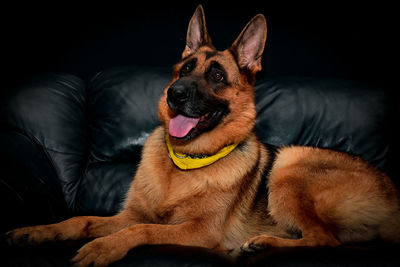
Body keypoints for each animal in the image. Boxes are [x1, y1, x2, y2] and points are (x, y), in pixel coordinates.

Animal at [6, 4, 400, 267]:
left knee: (326, 239)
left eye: (217, 76)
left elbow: (142, 231)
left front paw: (103, 247)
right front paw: (37, 231)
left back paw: (263, 243)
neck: (184, 163)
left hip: (289, 166)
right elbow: (81, 220)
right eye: (185, 70)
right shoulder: (128, 215)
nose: (174, 94)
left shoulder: (198, 232)